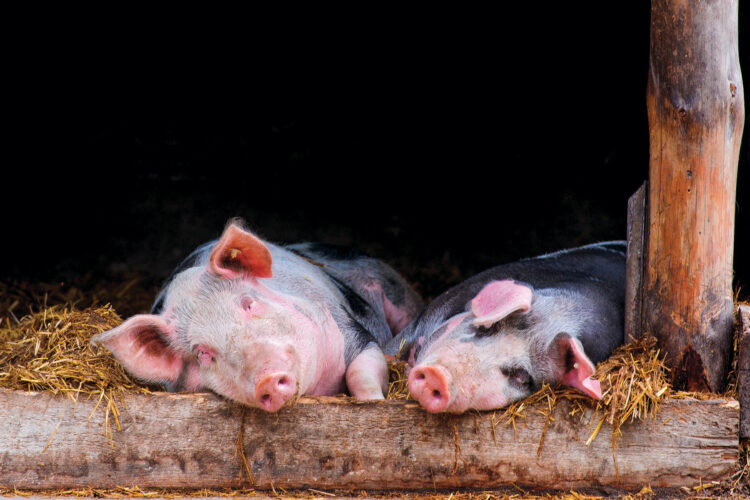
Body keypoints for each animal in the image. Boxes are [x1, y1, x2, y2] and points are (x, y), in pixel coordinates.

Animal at [91, 219, 423, 411]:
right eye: (202, 353)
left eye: (249, 304)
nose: (266, 378)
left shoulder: (353, 331)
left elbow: (362, 373)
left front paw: (375, 402)